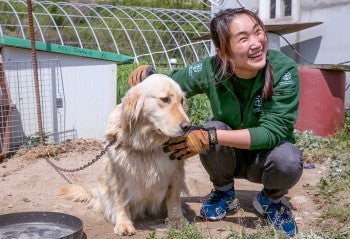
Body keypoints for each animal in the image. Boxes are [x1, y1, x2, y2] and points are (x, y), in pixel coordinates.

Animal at [60, 74, 191, 235]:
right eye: (165, 99)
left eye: (182, 101)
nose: (188, 127)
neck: (147, 143)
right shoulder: (118, 175)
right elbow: (121, 201)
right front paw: (123, 223)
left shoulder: (176, 171)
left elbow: (173, 198)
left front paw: (177, 220)